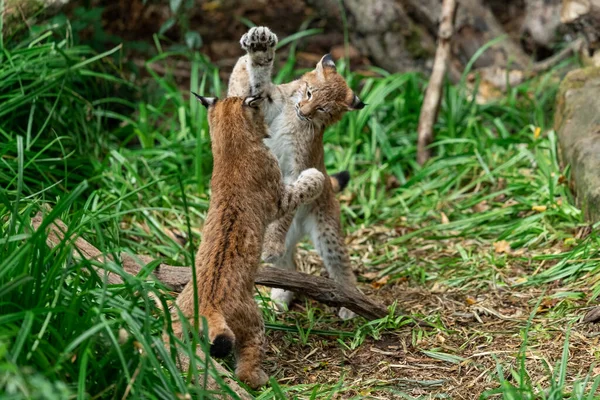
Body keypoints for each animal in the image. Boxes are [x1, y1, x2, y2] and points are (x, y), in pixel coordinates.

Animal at [169, 94, 326, 388]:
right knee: (247, 362)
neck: (230, 148)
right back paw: (260, 379)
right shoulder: (278, 198)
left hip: (175, 318)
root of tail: (206, 305)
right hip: (252, 318)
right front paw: (315, 177)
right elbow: (300, 189)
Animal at [227, 25, 364, 318]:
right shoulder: (266, 102)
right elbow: (257, 79)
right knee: (287, 264)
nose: (304, 110)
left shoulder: (295, 169)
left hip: (326, 230)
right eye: (310, 93)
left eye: (324, 108)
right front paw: (259, 49)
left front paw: (271, 245)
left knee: (341, 264)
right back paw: (280, 295)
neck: (294, 114)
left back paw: (350, 302)